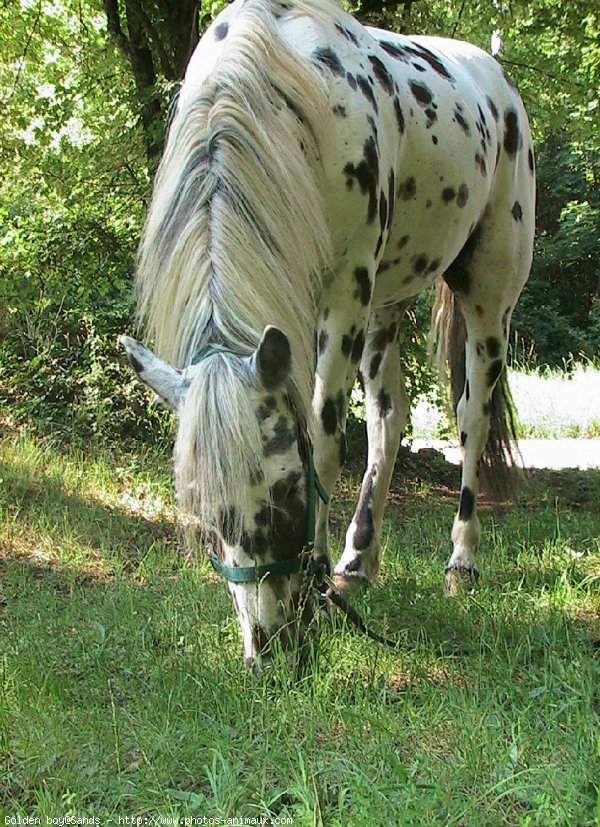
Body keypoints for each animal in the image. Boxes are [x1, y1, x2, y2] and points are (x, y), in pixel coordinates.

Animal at [120, 0, 536, 668]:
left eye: (290, 493)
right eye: (204, 516)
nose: (269, 649)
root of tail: (495, 78)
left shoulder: (343, 296)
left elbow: (326, 440)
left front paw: (316, 596)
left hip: (486, 299)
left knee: (471, 419)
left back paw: (461, 563)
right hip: (387, 302)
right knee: (390, 418)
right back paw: (357, 560)